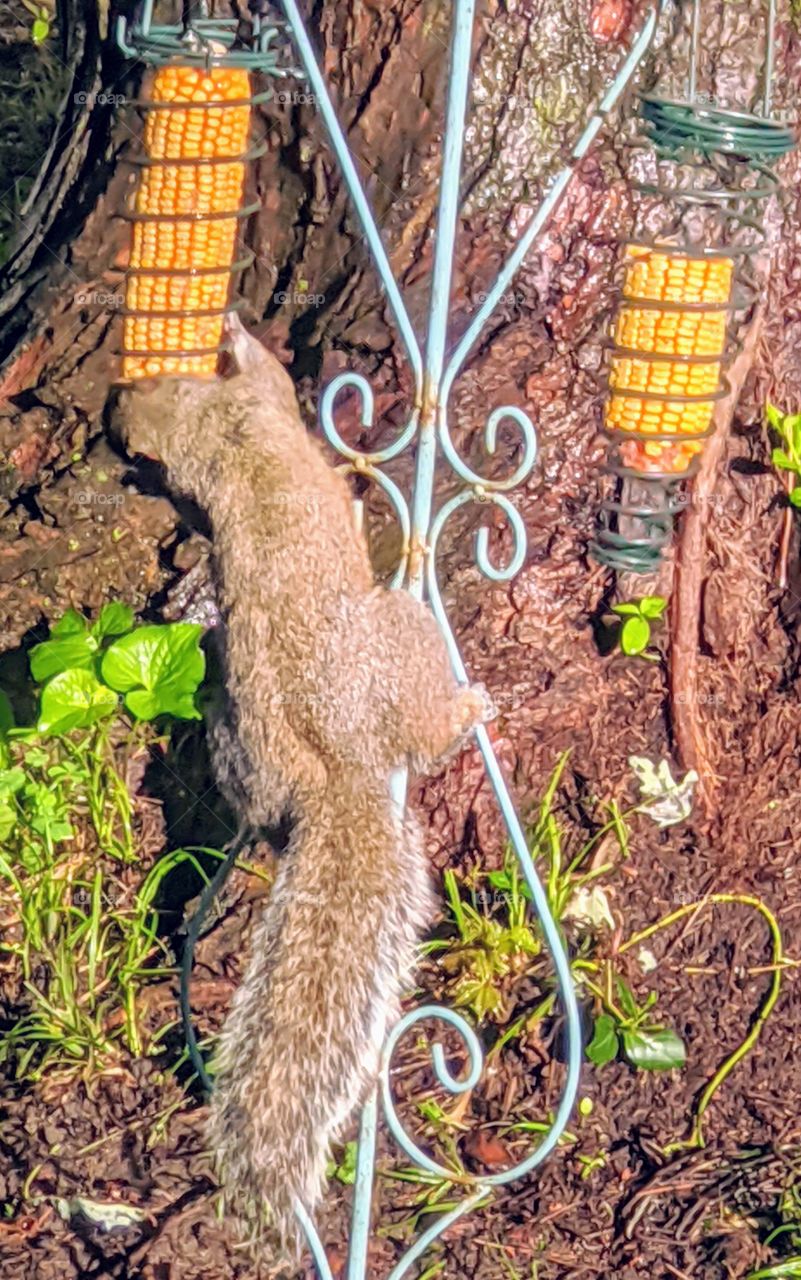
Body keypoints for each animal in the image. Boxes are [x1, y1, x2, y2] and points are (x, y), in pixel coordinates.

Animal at [112, 313, 491, 1265]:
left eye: (140, 386)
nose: (114, 399)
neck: (211, 435)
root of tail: (337, 766)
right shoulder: (258, 407)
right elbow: (273, 381)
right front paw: (245, 332)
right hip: (402, 634)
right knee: (427, 725)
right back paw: (467, 706)